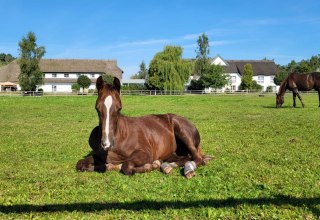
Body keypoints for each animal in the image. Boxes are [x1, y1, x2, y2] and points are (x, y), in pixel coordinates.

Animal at [77, 76, 212, 177]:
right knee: (185, 158)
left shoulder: (146, 153)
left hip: (182, 131)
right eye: (97, 108)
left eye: (119, 108)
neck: (121, 136)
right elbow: (80, 164)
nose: (106, 144)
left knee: (197, 159)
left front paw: (151, 165)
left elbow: (127, 167)